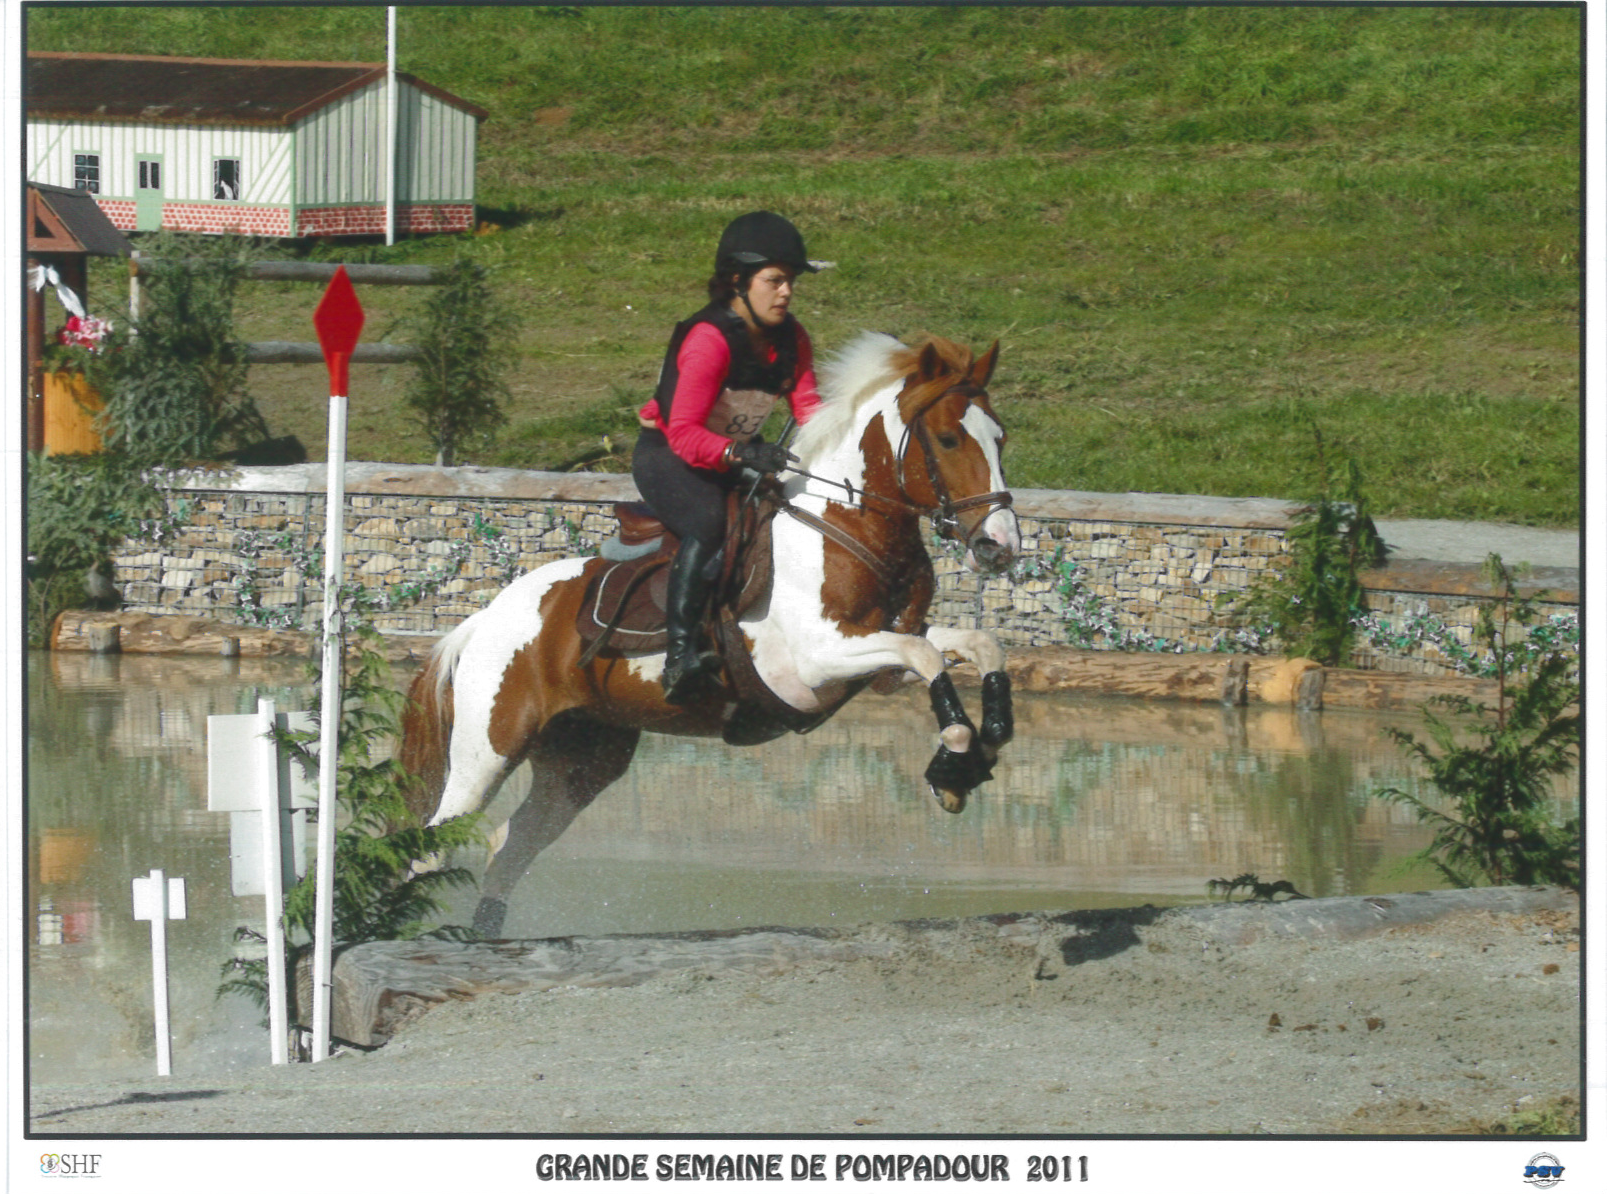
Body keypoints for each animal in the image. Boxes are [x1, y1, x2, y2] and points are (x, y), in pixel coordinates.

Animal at [398, 331, 1015, 938]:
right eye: (948, 440)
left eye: (1001, 439)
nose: (1000, 547)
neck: (844, 524)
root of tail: (482, 620)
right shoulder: (815, 661)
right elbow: (926, 654)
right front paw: (956, 756)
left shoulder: (878, 663)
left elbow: (976, 646)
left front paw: (984, 741)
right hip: (489, 748)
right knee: (434, 847)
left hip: (583, 759)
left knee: (509, 847)